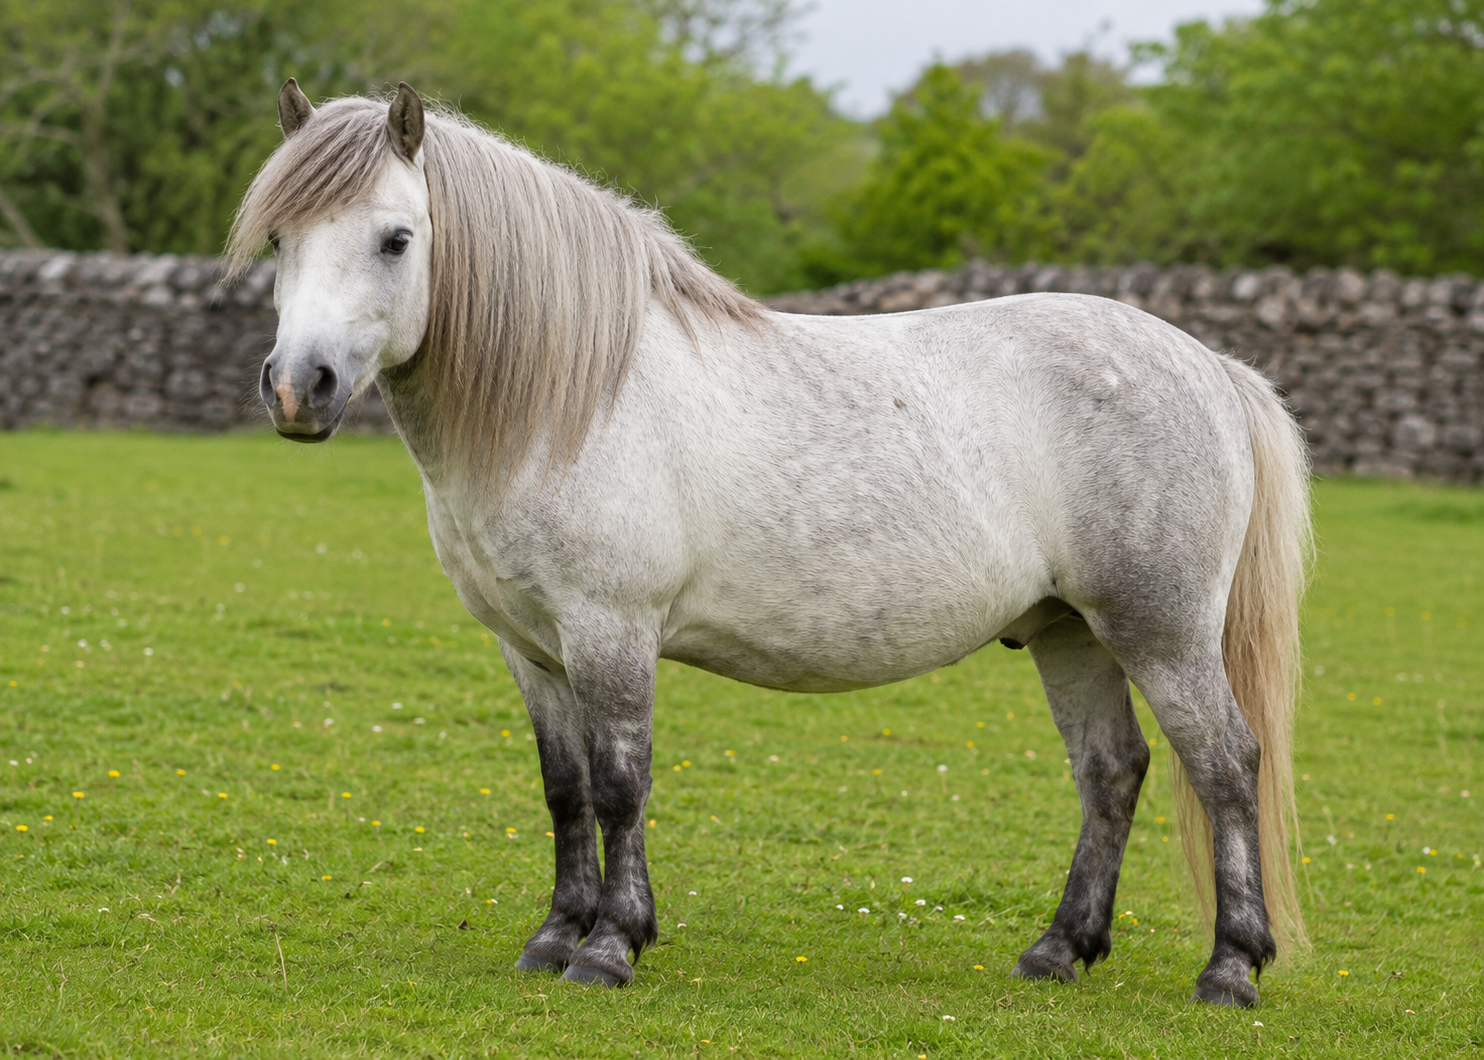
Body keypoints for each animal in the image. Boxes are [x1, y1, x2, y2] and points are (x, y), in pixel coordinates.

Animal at [228, 80, 1311, 1006]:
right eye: (280, 235)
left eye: (396, 238)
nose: (297, 388)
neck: (569, 397)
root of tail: (1209, 366)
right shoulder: (528, 646)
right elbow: (564, 790)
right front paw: (552, 937)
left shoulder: (610, 630)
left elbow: (620, 784)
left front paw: (610, 946)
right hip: (1068, 632)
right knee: (1111, 773)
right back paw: (1057, 949)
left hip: (1160, 631)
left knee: (1224, 765)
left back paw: (1229, 967)